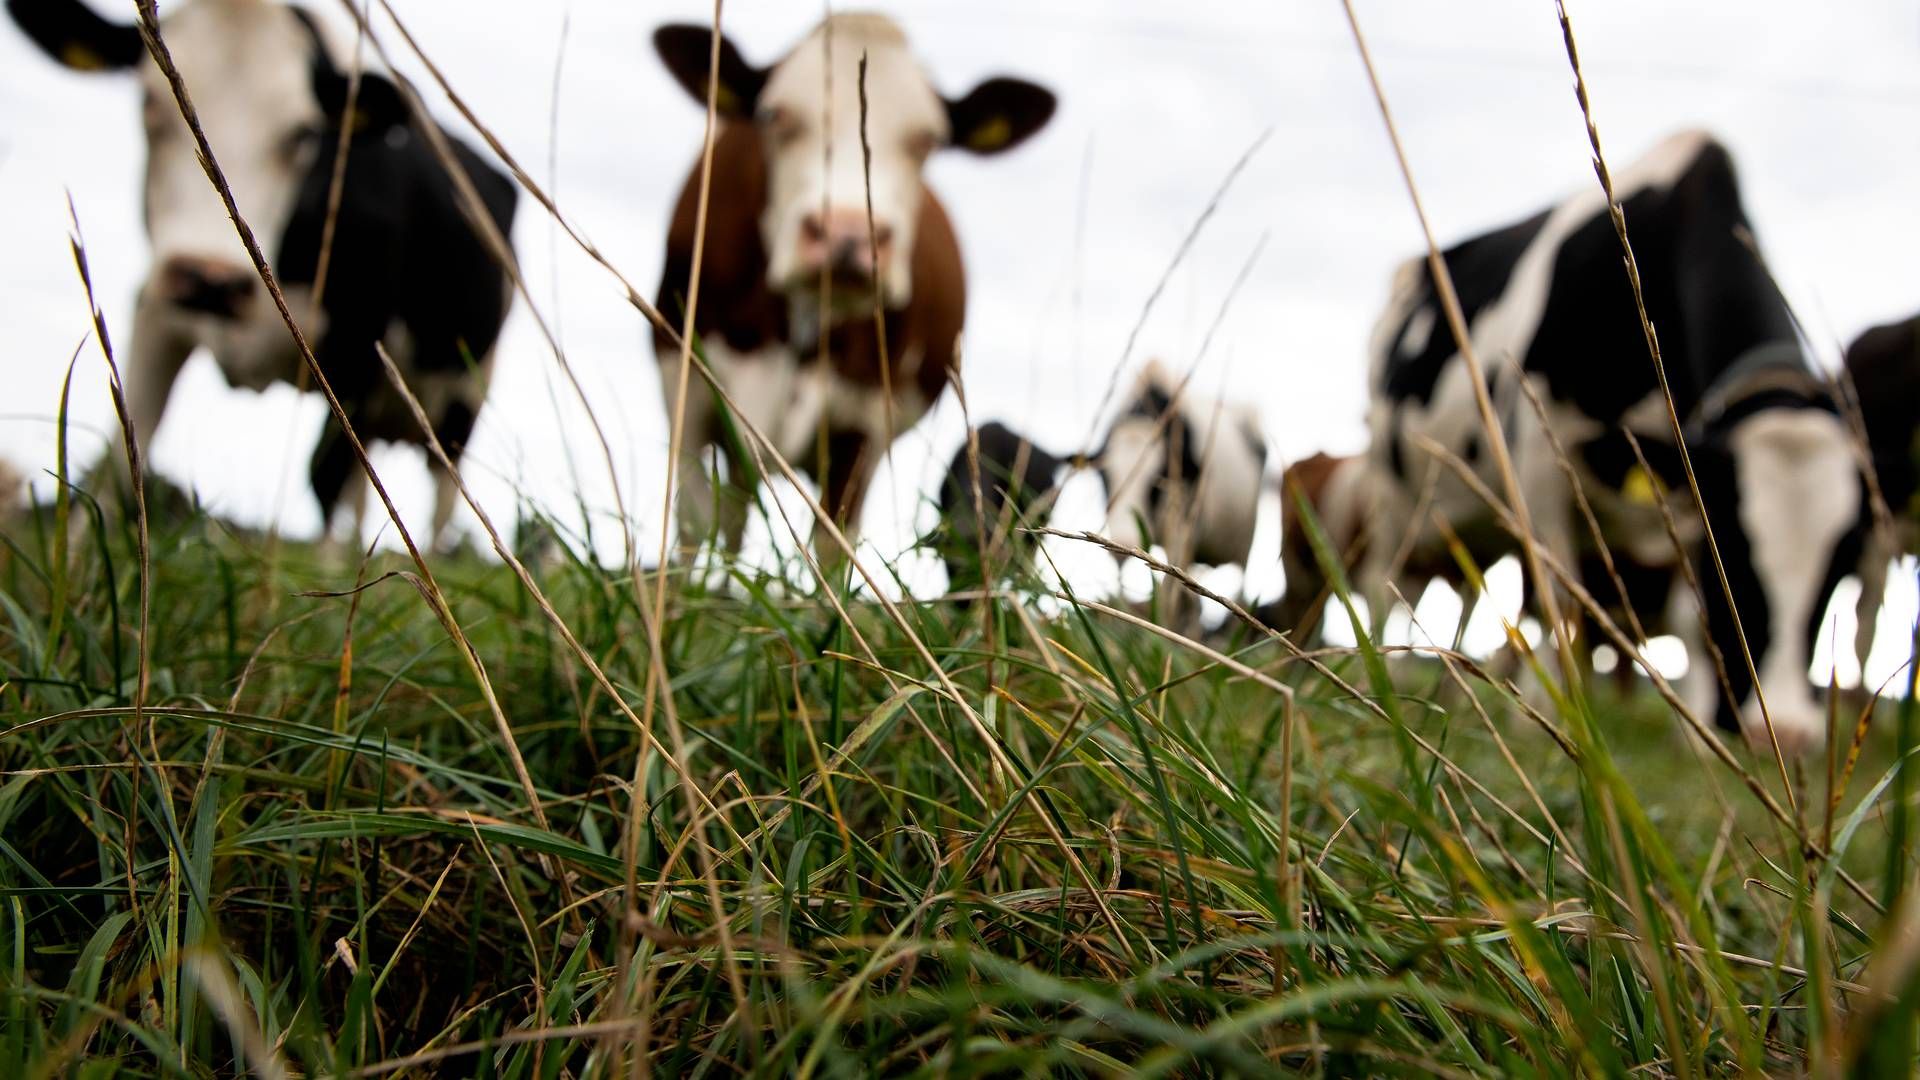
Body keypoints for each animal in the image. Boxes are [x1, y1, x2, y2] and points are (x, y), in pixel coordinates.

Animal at [7, 0, 518, 545]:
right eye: (147, 103)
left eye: (303, 133)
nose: (209, 277)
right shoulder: (155, 309)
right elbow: (126, 444)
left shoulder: (359, 343)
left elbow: (324, 476)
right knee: (363, 492)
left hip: (464, 397)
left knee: (438, 495)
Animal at [652, 14, 1059, 553]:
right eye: (774, 114)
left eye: (928, 140)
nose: (847, 234)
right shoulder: (688, 390)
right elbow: (693, 527)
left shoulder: (863, 427)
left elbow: (832, 541)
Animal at [1367, 130, 1858, 753]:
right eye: (1734, 551)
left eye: (1842, 565)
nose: (1790, 734)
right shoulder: (1538, 451)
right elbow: (1560, 597)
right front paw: (1553, 714)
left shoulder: (1682, 495)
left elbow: (1689, 620)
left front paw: (1694, 734)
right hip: (1390, 493)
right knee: (1385, 585)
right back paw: (1381, 672)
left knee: (1470, 597)